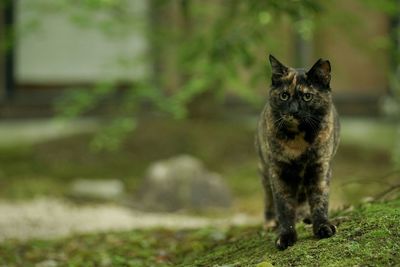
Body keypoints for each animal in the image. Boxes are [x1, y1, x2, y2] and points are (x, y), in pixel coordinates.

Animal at [256, 55, 340, 251]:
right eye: (284, 95)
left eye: (307, 96)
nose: (293, 110)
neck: (299, 141)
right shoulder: (278, 171)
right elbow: (284, 206)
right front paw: (285, 236)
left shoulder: (320, 167)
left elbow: (319, 199)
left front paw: (323, 226)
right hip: (264, 171)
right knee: (269, 199)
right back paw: (270, 222)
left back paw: (305, 216)